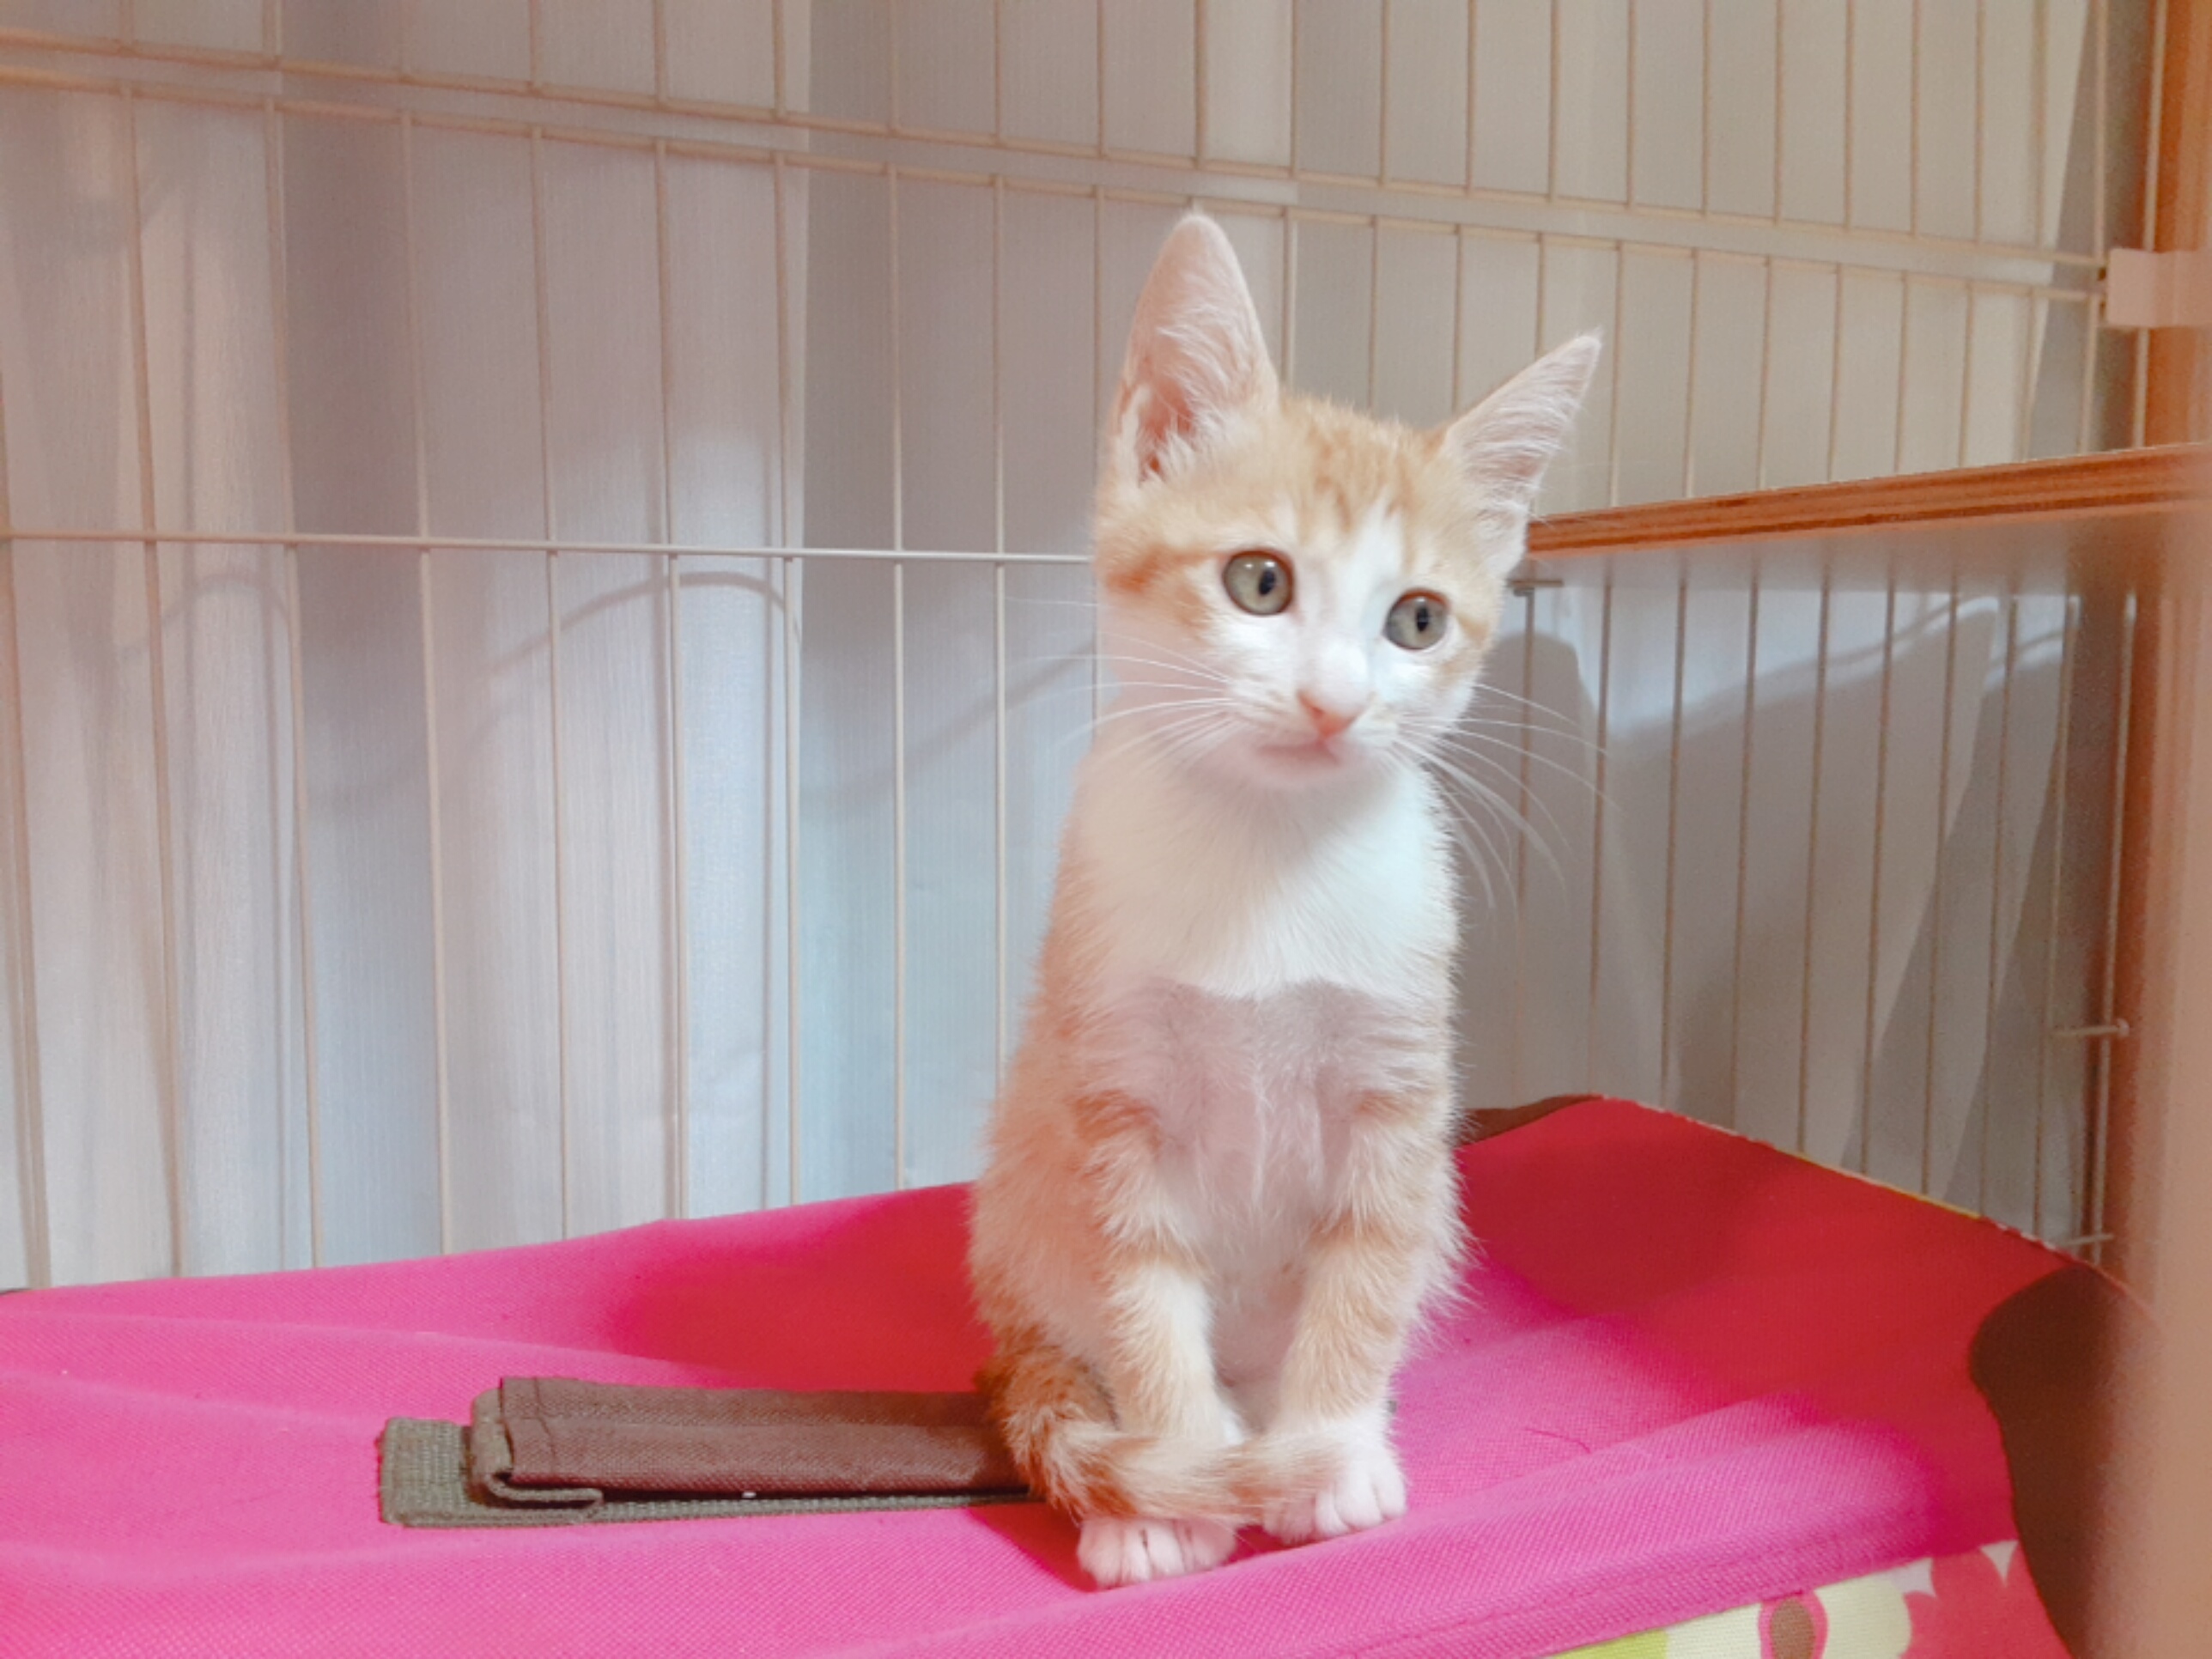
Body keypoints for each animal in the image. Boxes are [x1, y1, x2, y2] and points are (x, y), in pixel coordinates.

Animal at [968, 211, 1598, 1589]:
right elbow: (1144, 1292)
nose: (1334, 702)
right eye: (1259, 582)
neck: (1266, 856)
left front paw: (1331, 1451)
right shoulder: (1111, 1092)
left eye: (1416, 619)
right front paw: (1173, 1478)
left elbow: (1363, 1277)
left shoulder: (1397, 1095)